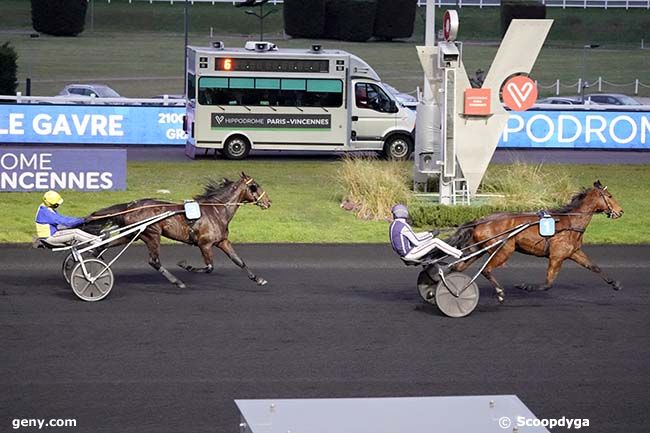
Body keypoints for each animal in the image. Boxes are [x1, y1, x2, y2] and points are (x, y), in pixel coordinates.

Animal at [83, 171, 270, 286]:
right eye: (255, 186)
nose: (268, 202)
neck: (217, 211)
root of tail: (131, 205)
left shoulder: (222, 241)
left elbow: (238, 260)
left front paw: (258, 279)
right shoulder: (205, 244)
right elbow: (209, 267)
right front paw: (185, 265)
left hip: (132, 233)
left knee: (104, 245)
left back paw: (95, 260)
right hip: (152, 234)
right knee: (154, 261)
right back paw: (177, 281)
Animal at [446, 181, 624, 302]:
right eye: (609, 196)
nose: (620, 211)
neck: (570, 223)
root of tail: (481, 220)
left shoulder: (574, 252)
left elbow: (594, 267)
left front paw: (615, 283)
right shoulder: (557, 256)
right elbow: (548, 283)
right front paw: (526, 286)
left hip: (477, 250)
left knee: (457, 267)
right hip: (504, 249)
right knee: (486, 270)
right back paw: (499, 292)